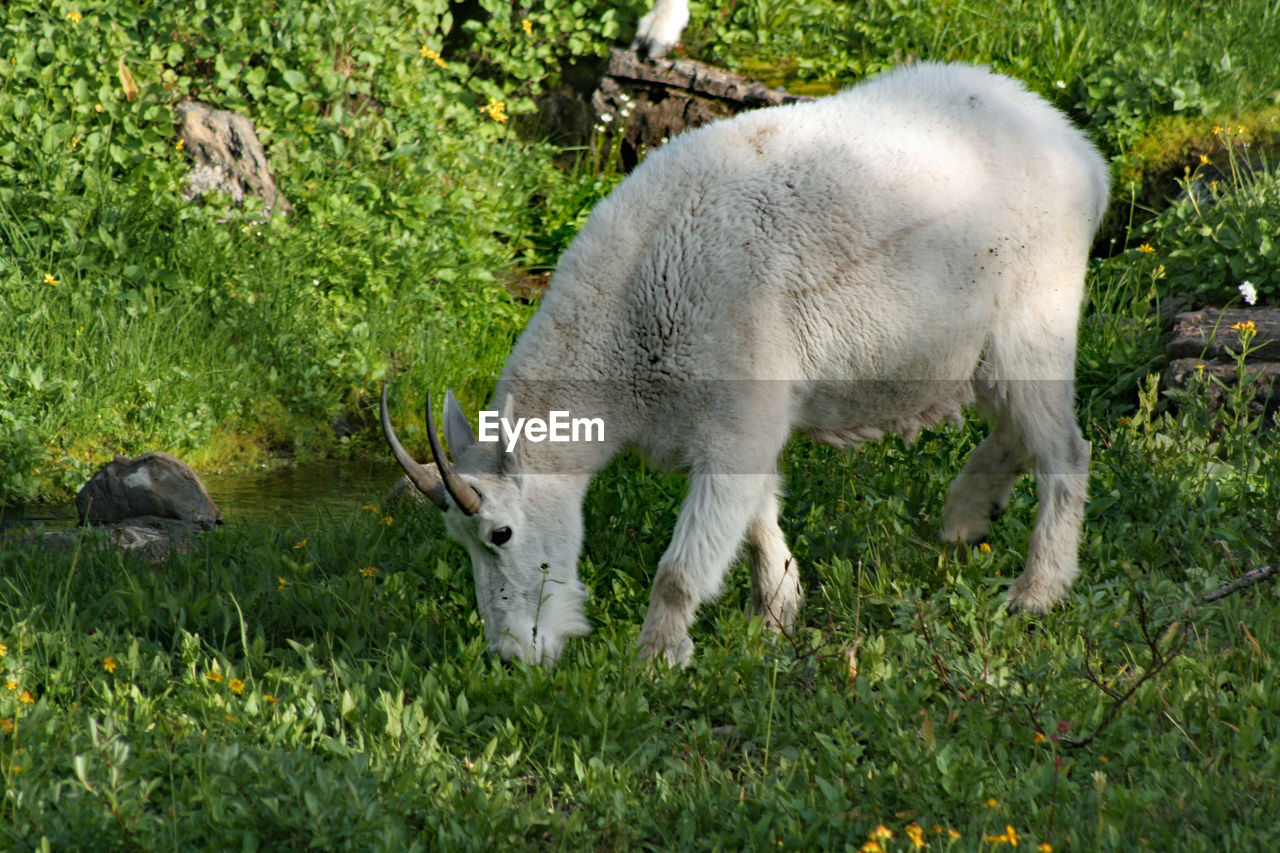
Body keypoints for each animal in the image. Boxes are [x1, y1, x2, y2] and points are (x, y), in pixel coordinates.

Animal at [378, 63, 1111, 666]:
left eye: (500, 532)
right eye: (459, 540)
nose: (510, 657)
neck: (629, 319)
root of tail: (1085, 156)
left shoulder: (737, 414)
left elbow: (681, 567)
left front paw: (656, 658)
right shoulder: (730, 430)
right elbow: (756, 519)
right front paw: (776, 617)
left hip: (1033, 320)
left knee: (1063, 448)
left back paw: (1036, 590)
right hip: (981, 346)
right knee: (1015, 426)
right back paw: (966, 516)